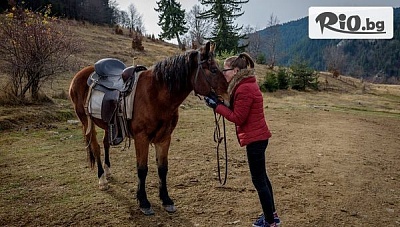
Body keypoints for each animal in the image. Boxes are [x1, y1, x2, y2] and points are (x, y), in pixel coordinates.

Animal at [69, 42, 228, 215]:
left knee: (106, 143)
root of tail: (83, 73)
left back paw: (108, 171)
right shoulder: (141, 138)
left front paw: (166, 199)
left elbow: (163, 168)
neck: (156, 95)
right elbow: (142, 169)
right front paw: (143, 201)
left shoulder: (165, 138)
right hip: (86, 121)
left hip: (107, 124)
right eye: (213, 70)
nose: (228, 95)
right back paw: (102, 179)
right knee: (95, 147)